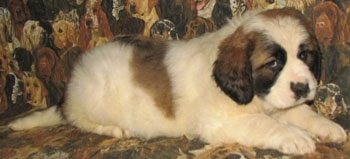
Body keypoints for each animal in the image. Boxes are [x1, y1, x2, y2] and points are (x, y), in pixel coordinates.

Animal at [9, 8, 346, 155]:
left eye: (305, 56)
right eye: (274, 64)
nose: (303, 88)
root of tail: (69, 90)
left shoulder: (282, 104)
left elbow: (300, 113)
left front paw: (326, 127)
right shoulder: (222, 122)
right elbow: (265, 124)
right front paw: (296, 137)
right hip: (94, 98)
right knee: (79, 120)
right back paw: (115, 130)